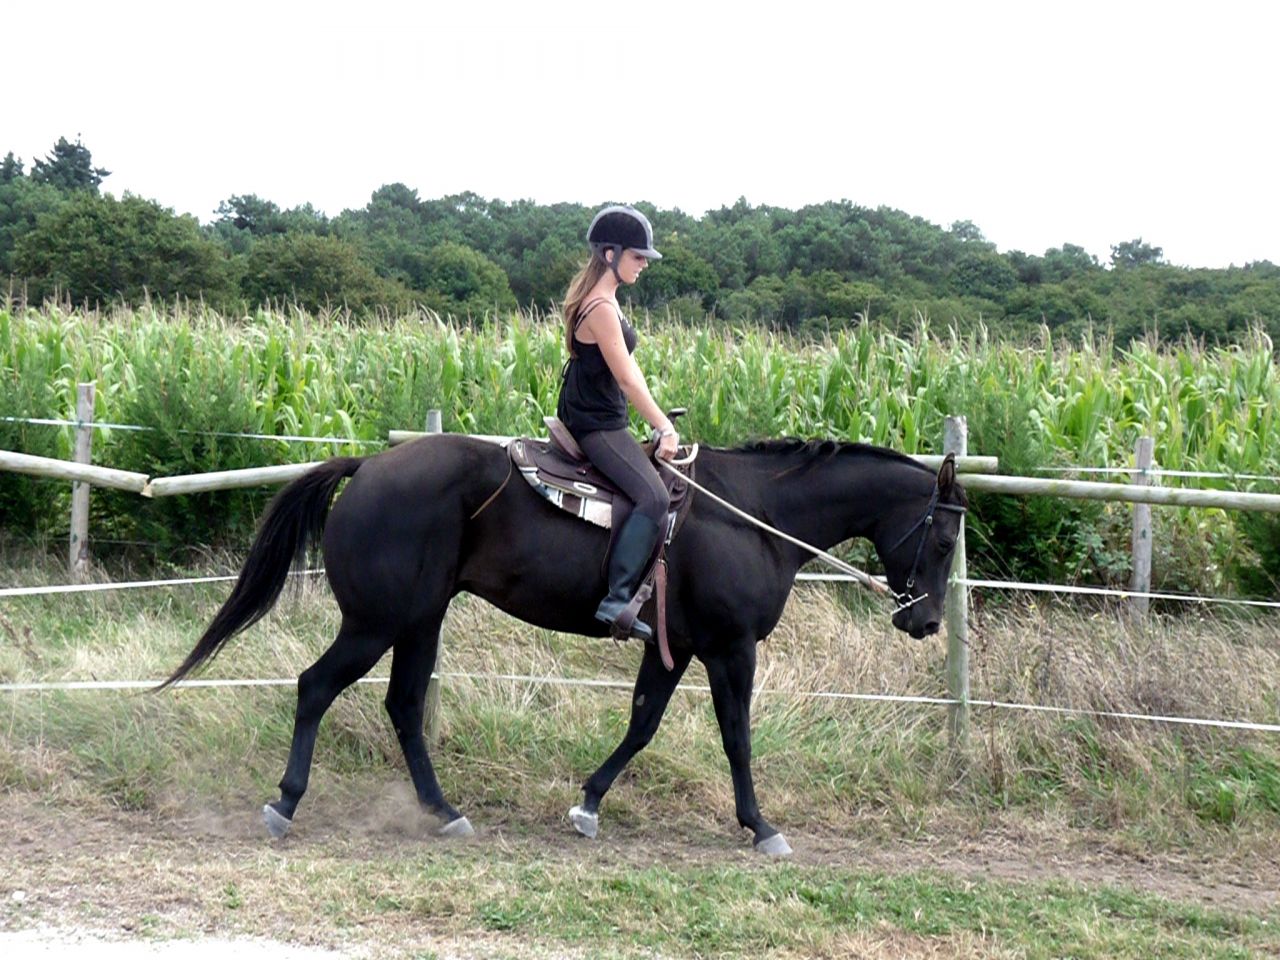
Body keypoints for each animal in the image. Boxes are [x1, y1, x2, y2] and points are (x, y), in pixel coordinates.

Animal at [163, 433, 967, 855]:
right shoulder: (730, 647)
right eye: (944, 537)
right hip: (377, 622)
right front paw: (761, 825)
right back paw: (286, 803)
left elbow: (642, 724)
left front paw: (589, 803)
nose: (925, 621)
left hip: (419, 621)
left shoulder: (675, 646)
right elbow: (737, 736)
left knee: (404, 707)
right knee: (317, 687)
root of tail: (367, 467)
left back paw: (443, 811)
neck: (756, 515)